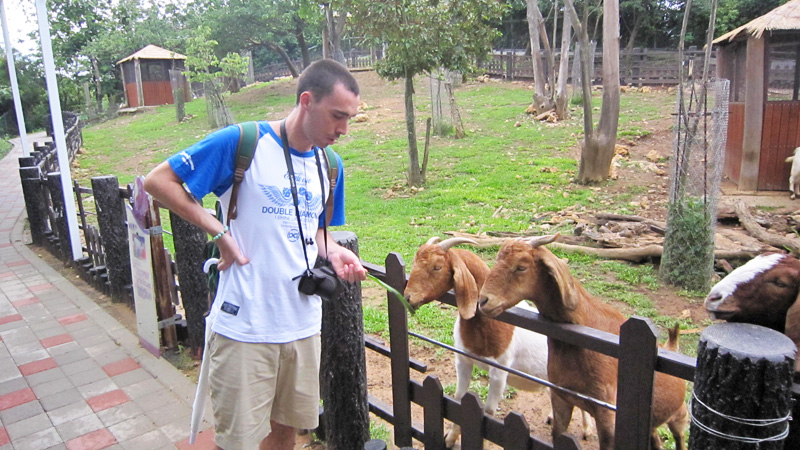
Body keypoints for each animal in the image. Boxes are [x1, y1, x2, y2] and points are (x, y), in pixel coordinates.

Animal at [404, 237, 592, 448]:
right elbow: (459, 400)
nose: (408, 297)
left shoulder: (500, 371)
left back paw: (587, 429)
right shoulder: (463, 360)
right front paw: (450, 439)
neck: (486, 326)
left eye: (437, 267)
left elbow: (488, 413)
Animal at [478, 236, 692, 450]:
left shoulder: (607, 414)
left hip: (679, 415)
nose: (483, 301)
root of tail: (670, 346)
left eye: (521, 267)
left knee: (680, 437)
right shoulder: (561, 397)